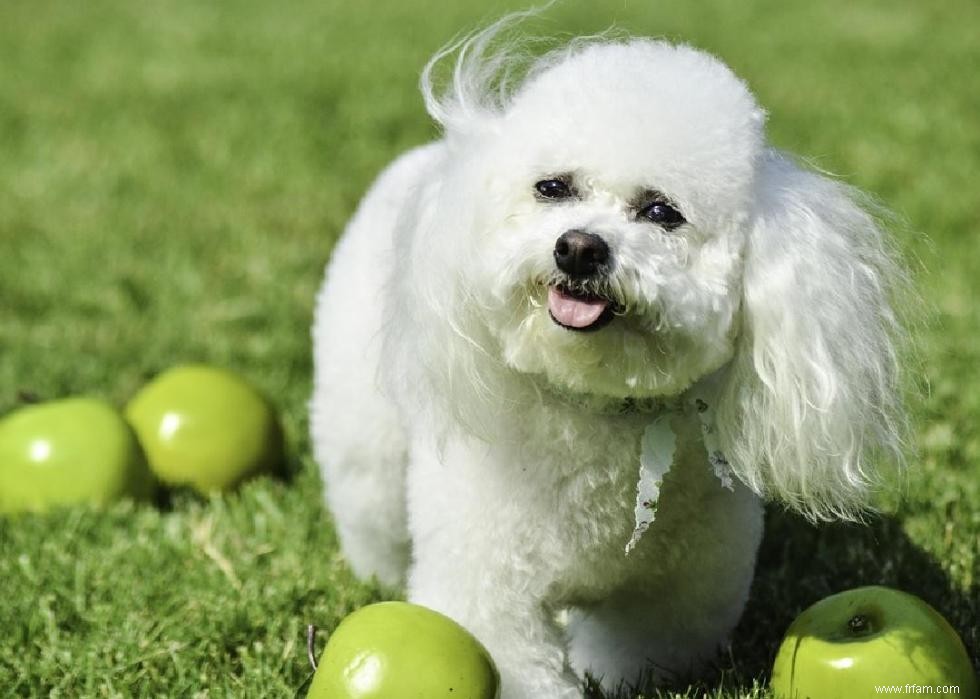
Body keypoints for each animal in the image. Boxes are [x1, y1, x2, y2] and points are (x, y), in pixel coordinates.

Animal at [310, 16, 908, 699]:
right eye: (552, 188)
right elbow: (518, 662)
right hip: (368, 439)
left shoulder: (674, 600)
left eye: (661, 212)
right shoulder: (491, 590)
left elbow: (638, 653)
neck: (597, 409)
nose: (578, 247)